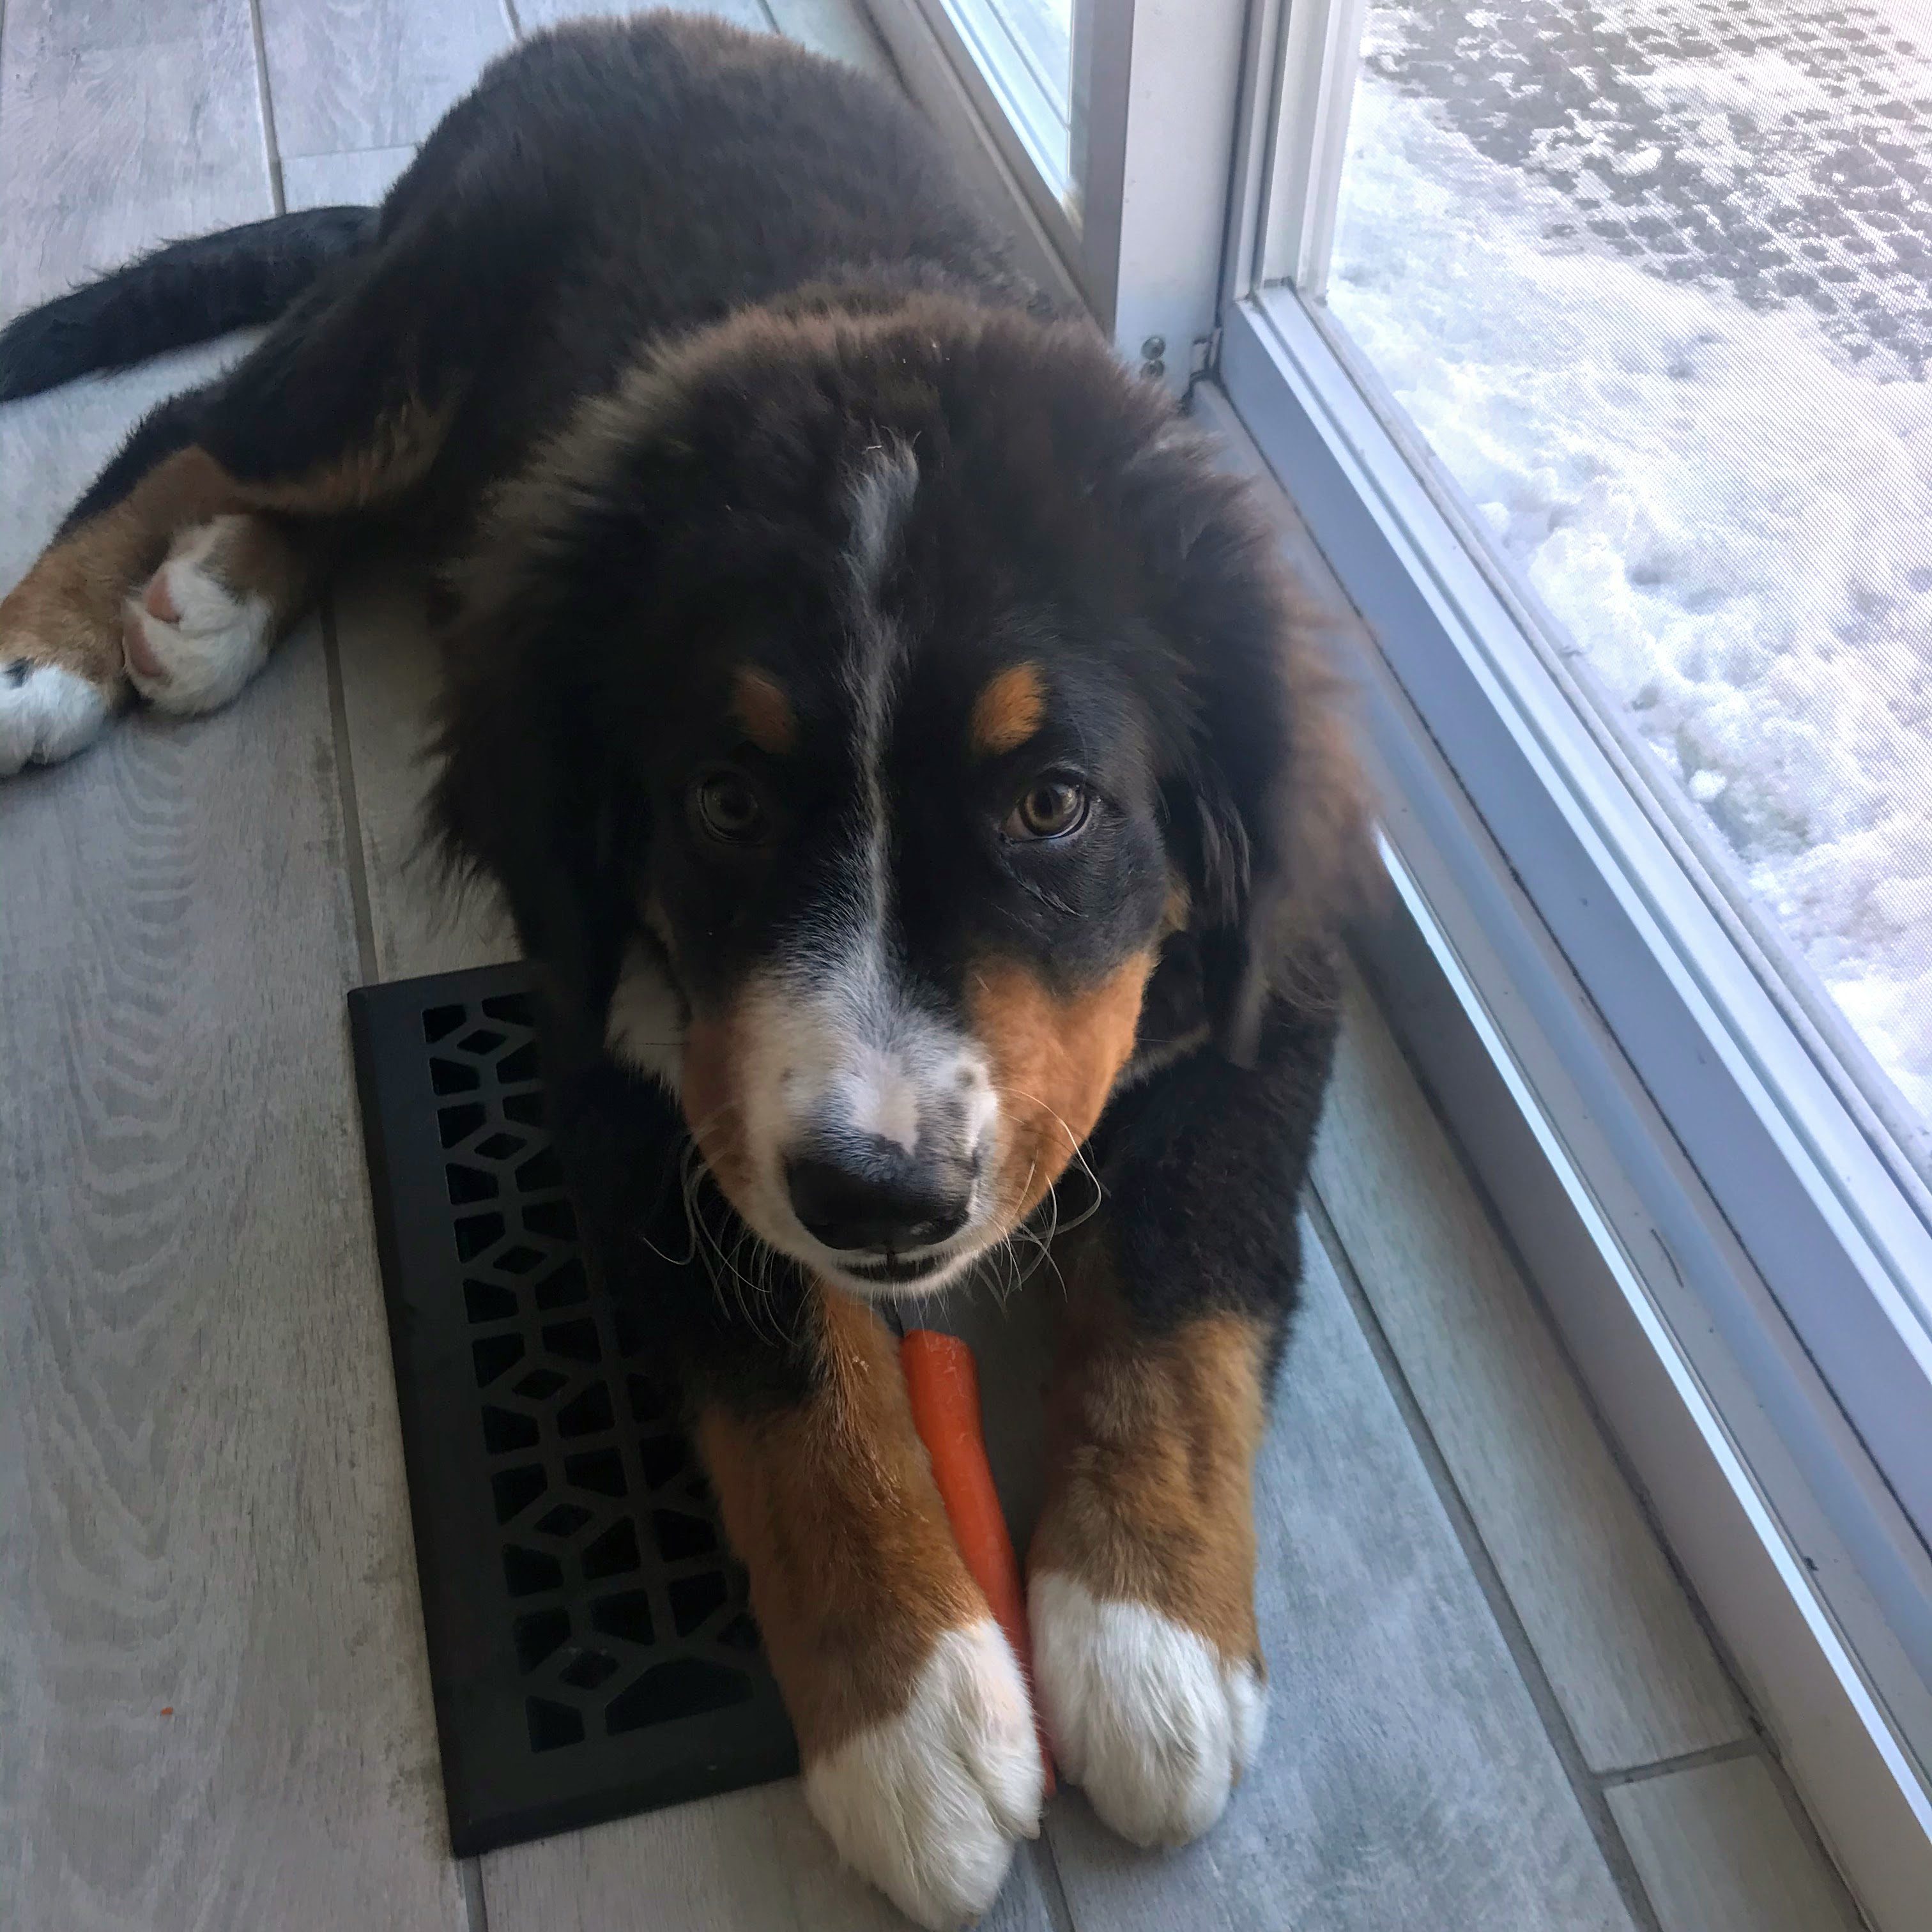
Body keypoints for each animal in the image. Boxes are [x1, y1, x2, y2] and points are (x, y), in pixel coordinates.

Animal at [0, 7, 1360, 1924]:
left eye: (1052, 804)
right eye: (724, 800)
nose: (881, 1202)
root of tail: (626, 31)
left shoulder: (1273, 971)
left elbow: (1188, 1276)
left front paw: (1148, 1632)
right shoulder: (614, 1049)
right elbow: (781, 1363)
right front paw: (912, 1715)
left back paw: (211, 603)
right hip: (408, 336)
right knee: (200, 423)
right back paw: (56, 646)